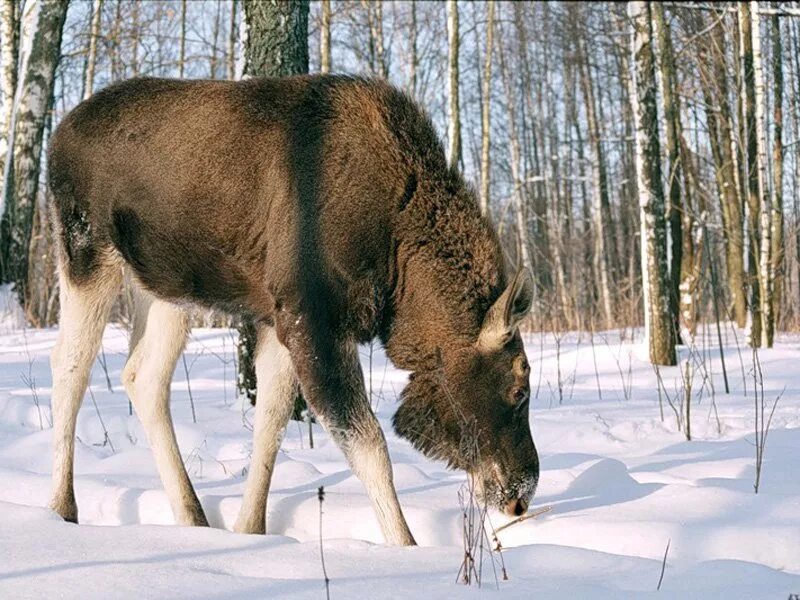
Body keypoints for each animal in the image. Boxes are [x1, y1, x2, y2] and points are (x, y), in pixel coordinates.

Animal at [48, 74, 536, 544]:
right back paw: (61, 507)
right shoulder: (315, 320)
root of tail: (57, 137)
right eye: (519, 388)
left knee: (142, 376)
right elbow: (370, 447)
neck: (398, 268)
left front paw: (250, 529)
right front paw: (407, 547)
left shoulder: (281, 316)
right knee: (70, 367)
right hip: (86, 248)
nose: (522, 496)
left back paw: (193, 515)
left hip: (167, 287)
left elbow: (273, 419)